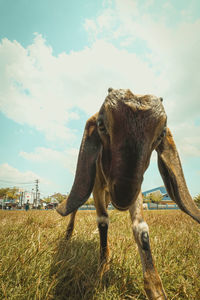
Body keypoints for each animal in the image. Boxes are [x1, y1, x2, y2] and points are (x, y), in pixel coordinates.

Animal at [56, 88, 200, 300]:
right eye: (101, 125)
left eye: (161, 134)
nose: (123, 195)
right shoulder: (97, 186)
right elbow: (102, 221)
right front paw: (102, 269)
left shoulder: (136, 189)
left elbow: (141, 228)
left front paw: (155, 289)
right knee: (76, 208)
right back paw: (68, 235)